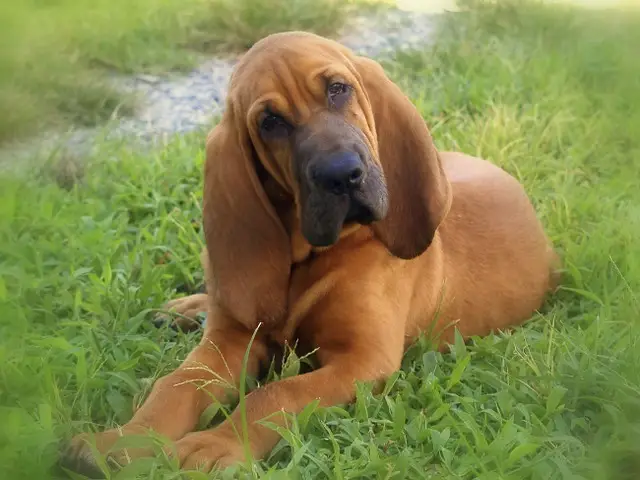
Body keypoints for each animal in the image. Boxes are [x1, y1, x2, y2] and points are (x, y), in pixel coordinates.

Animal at [61, 31, 560, 476]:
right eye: (270, 122)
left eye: (339, 89)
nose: (342, 174)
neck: (310, 256)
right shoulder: (228, 344)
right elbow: (176, 385)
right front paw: (120, 443)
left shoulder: (363, 360)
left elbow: (275, 395)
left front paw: (213, 445)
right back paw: (185, 308)